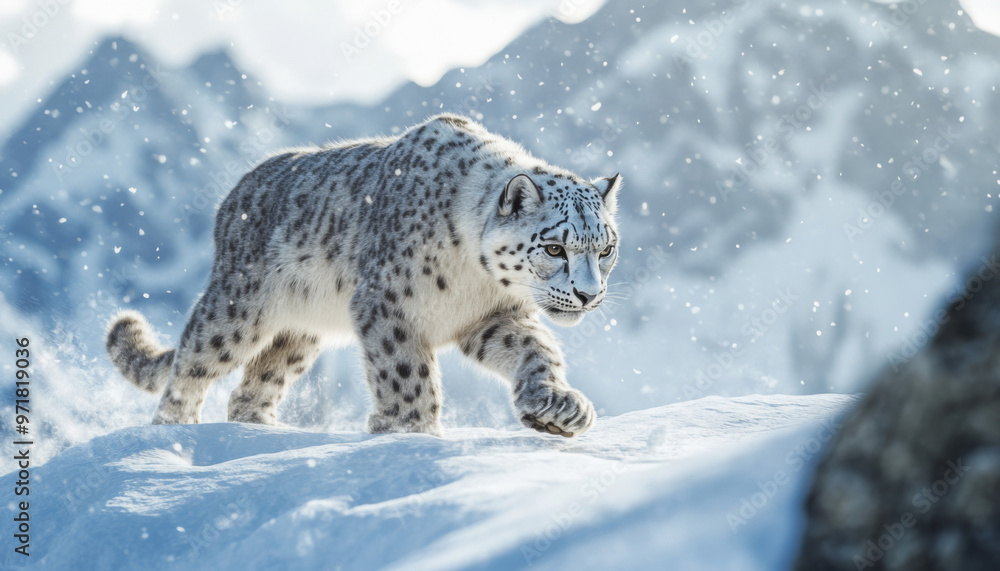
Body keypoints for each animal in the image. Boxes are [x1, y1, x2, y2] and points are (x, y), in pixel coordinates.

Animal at [106, 113, 622, 437]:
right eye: (554, 247)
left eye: (606, 248)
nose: (587, 295)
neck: (475, 279)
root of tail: (232, 196)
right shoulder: (387, 303)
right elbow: (406, 372)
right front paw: (413, 431)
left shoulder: (492, 316)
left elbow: (535, 349)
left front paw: (557, 405)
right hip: (236, 311)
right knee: (191, 363)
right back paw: (171, 433)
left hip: (301, 333)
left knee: (254, 387)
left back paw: (268, 433)